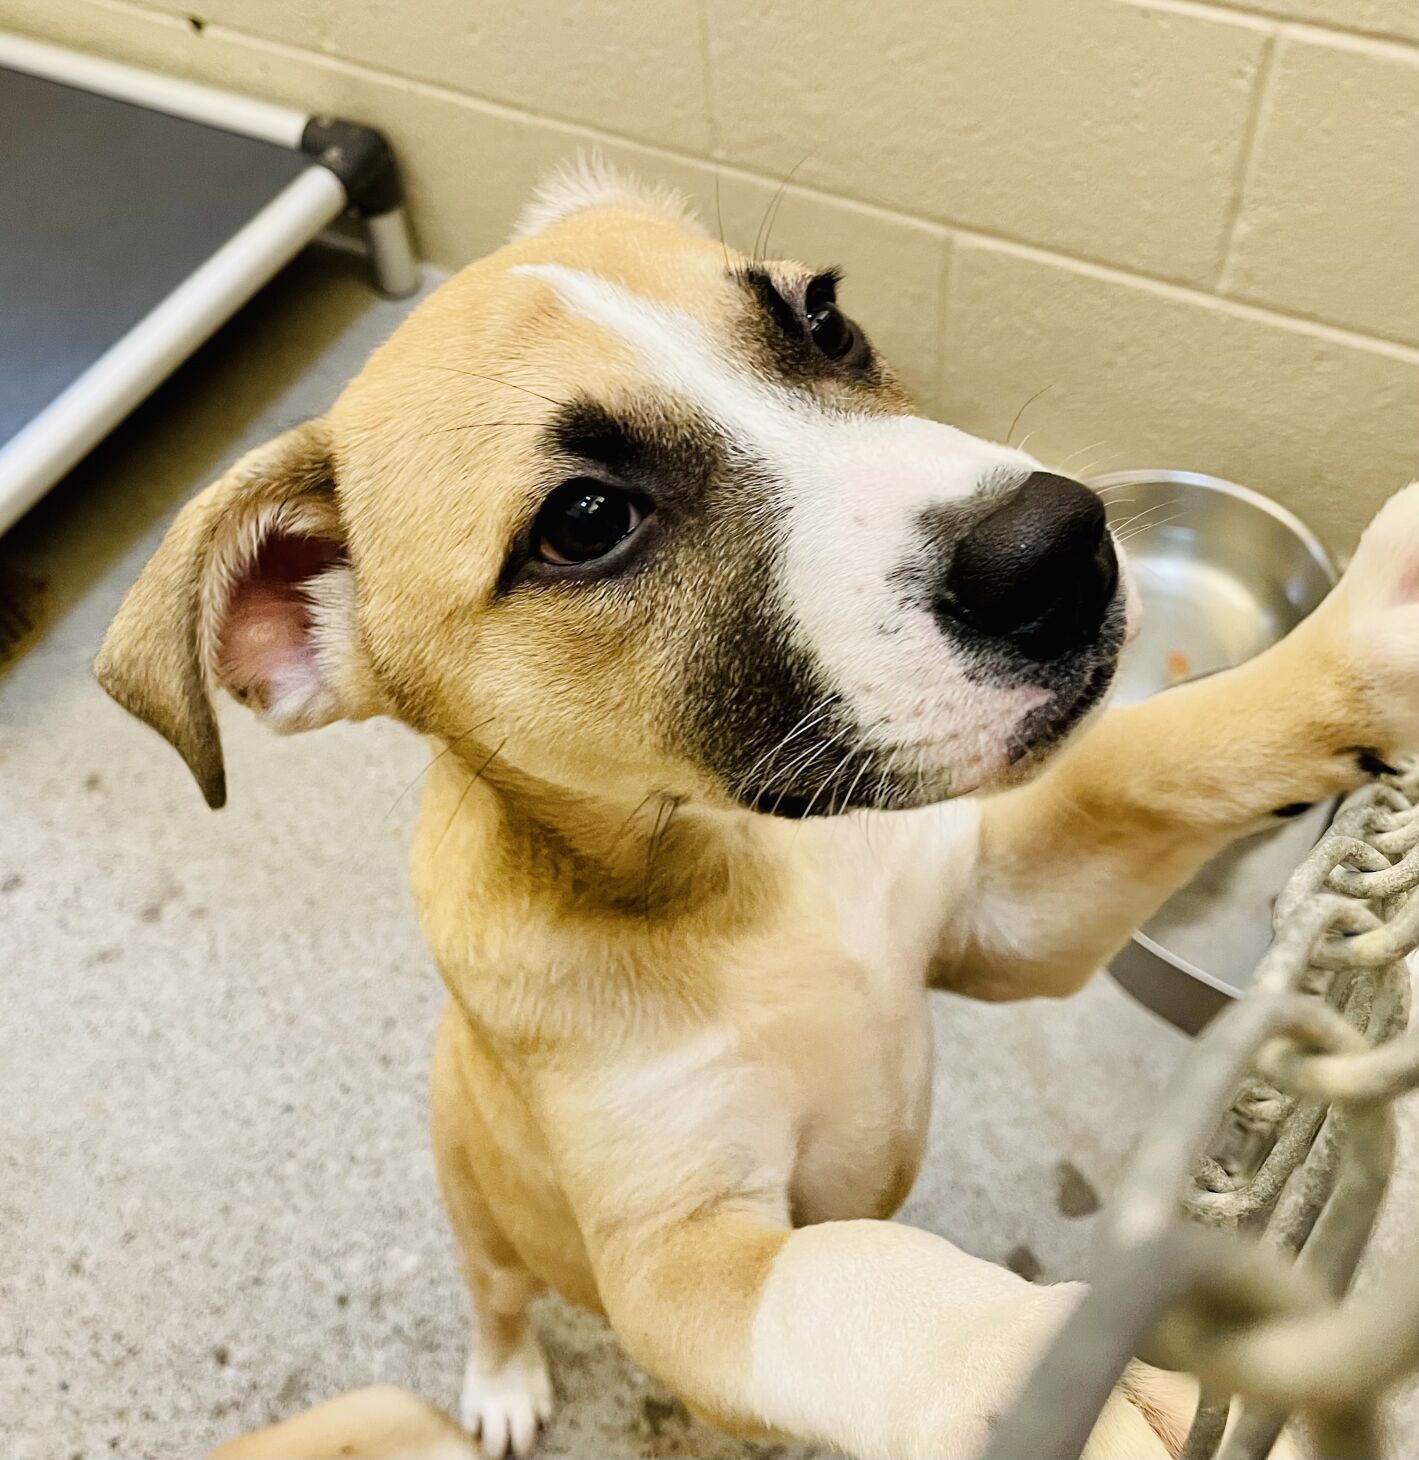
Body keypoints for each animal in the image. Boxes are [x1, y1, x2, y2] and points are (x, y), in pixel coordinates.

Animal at [94, 154, 1413, 1454]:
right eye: (585, 519)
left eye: (823, 320)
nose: (1056, 549)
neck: (757, 866)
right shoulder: (680, 1256)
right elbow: (854, 1274)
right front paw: (1036, 1366)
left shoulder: (1006, 916)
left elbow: (1159, 749)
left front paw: (1368, 642)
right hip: (477, 1203)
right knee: (494, 1293)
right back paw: (503, 1380)